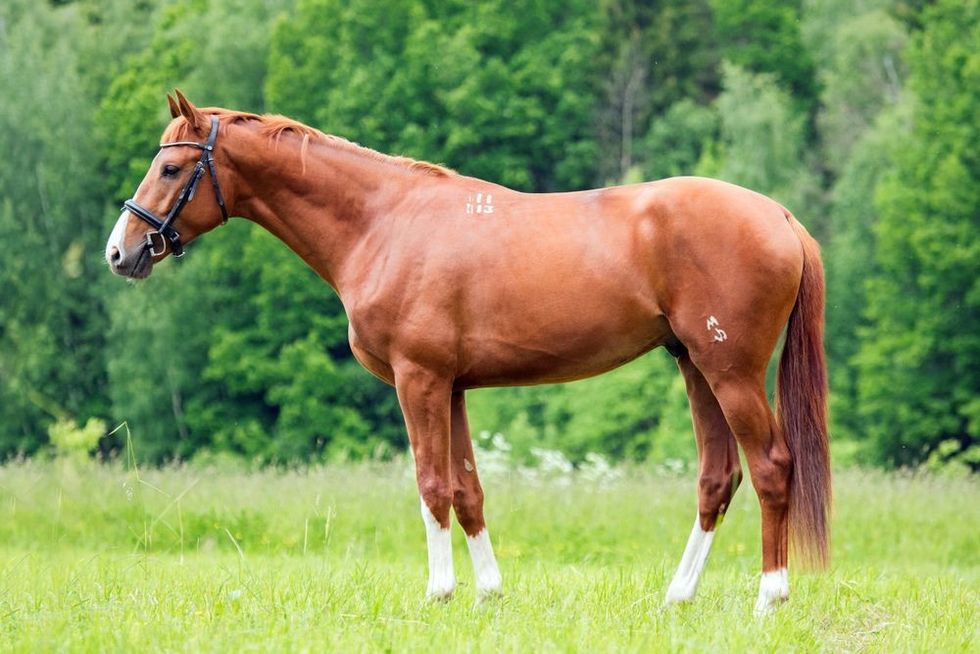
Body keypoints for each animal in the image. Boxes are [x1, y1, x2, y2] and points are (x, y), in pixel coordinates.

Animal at [106, 91, 830, 614]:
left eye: (171, 167)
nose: (121, 251)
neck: (384, 223)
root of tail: (781, 218)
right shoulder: (451, 387)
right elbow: (467, 490)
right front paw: (488, 592)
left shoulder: (418, 380)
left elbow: (431, 485)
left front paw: (440, 592)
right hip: (694, 367)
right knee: (718, 477)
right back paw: (678, 596)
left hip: (730, 372)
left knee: (771, 467)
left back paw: (770, 596)